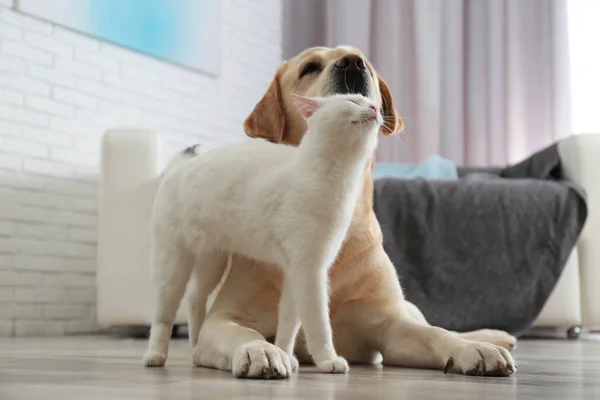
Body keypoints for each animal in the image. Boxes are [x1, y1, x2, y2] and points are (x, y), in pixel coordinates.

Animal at [143, 93, 382, 376]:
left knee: (194, 296)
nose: (375, 107)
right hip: (172, 264)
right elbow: (317, 322)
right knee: (163, 315)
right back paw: (155, 355)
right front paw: (328, 359)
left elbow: (289, 322)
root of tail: (180, 165)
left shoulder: (296, 272)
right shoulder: (309, 271)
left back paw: (196, 342)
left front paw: (286, 355)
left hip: (211, 261)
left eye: (368, 100)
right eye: (353, 101)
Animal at [190, 46, 516, 378]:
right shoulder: (224, 317)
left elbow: (436, 333)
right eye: (310, 67)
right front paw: (261, 350)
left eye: (367, 65)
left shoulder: (389, 324)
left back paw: (491, 336)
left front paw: (471, 349)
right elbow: (242, 332)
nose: (352, 64)